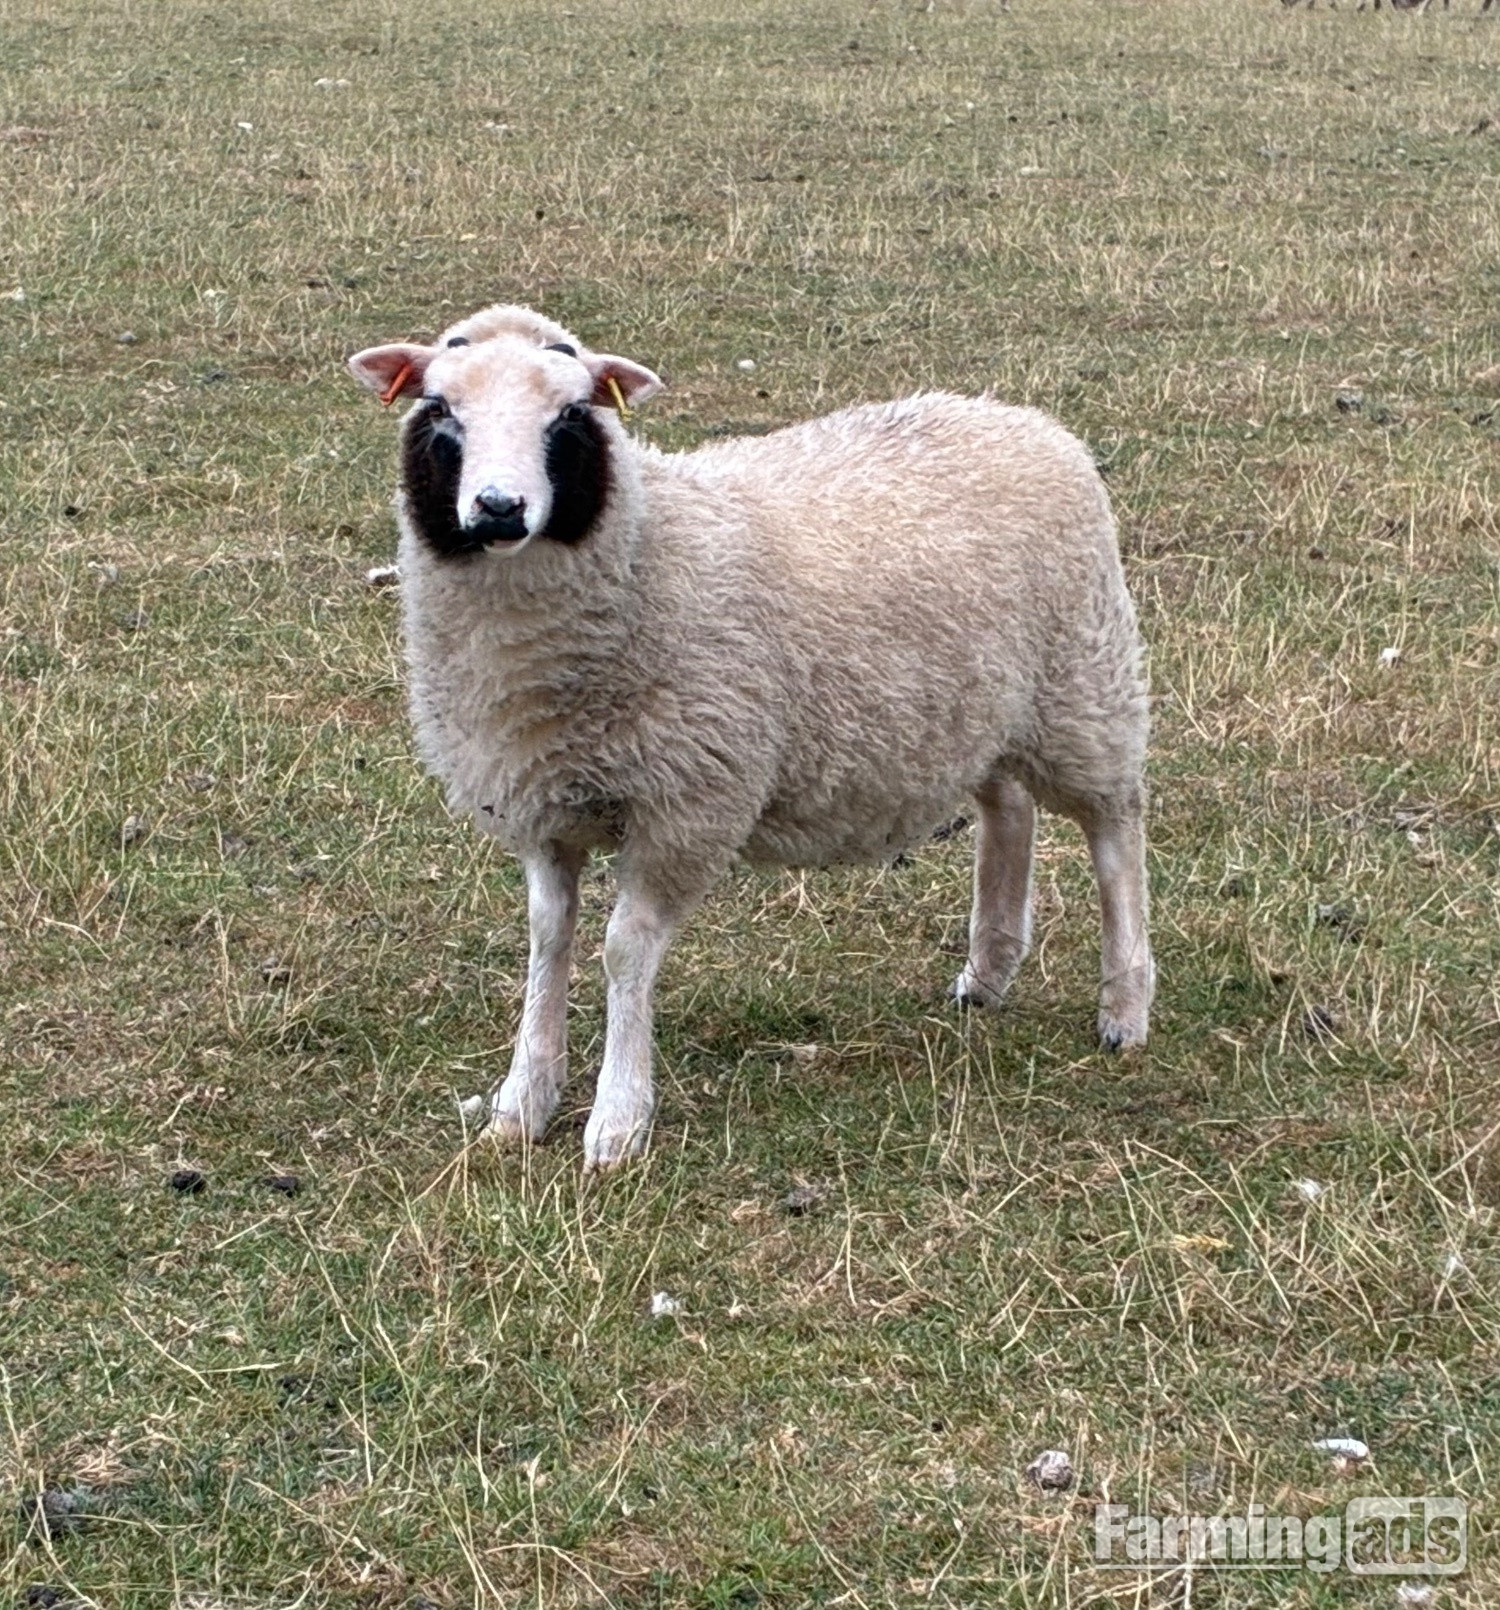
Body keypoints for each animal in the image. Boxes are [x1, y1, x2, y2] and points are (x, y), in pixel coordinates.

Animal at [348, 305, 1154, 1170]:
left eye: (569, 414)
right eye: (440, 409)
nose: (499, 508)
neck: (647, 546)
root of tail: (1018, 418)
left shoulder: (685, 807)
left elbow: (624, 949)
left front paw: (618, 1121)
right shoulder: (541, 807)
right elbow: (546, 940)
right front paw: (521, 1103)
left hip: (1084, 684)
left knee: (1115, 833)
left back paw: (1125, 1008)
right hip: (978, 707)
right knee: (1009, 808)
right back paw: (988, 972)